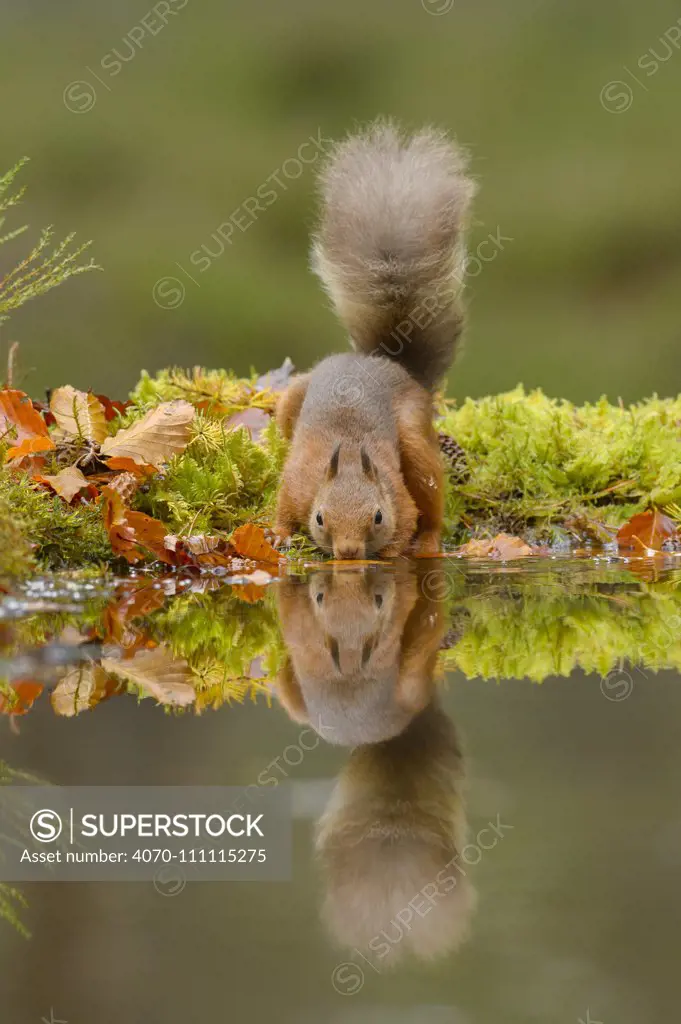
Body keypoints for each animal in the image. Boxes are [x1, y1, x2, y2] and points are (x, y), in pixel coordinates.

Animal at [274, 121, 475, 561]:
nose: (349, 552)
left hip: (414, 434)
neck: (349, 453)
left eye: (378, 516)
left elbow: (410, 518)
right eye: (320, 518)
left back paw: (429, 543)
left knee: (432, 501)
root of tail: (387, 363)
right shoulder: (298, 480)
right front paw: (278, 534)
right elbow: (282, 504)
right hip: (292, 398)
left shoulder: (398, 497)